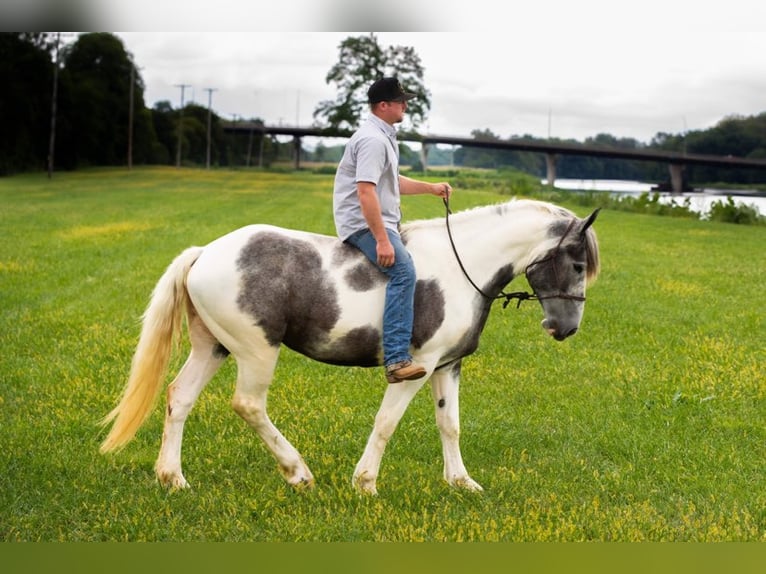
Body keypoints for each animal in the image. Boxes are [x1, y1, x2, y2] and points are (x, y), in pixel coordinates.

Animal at [100, 198, 600, 496]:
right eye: (578, 264)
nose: (565, 328)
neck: (462, 270)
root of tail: (205, 253)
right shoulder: (417, 366)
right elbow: (386, 422)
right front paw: (366, 483)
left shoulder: (447, 366)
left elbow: (450, 425)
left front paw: (461, 482)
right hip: (257, 351)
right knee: (248, 405)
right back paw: (298, 472)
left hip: (213, 347)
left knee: (179, 398)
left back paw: (173, 478)